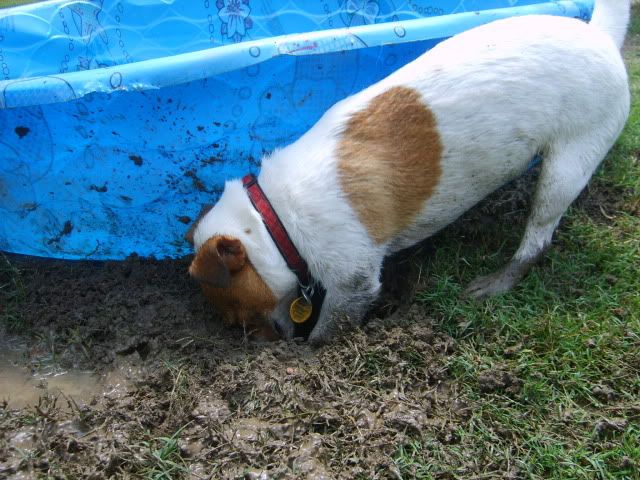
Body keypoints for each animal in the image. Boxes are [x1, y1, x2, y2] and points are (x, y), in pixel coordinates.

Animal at [185, 0, 632, 344]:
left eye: (236, 312)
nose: (267, 344)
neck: (273, 217)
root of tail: (601, 35)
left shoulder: (353, 281)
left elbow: (332, 326)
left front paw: (312, 347)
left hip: (567, 168)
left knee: (537, 240)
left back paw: (496, 281)